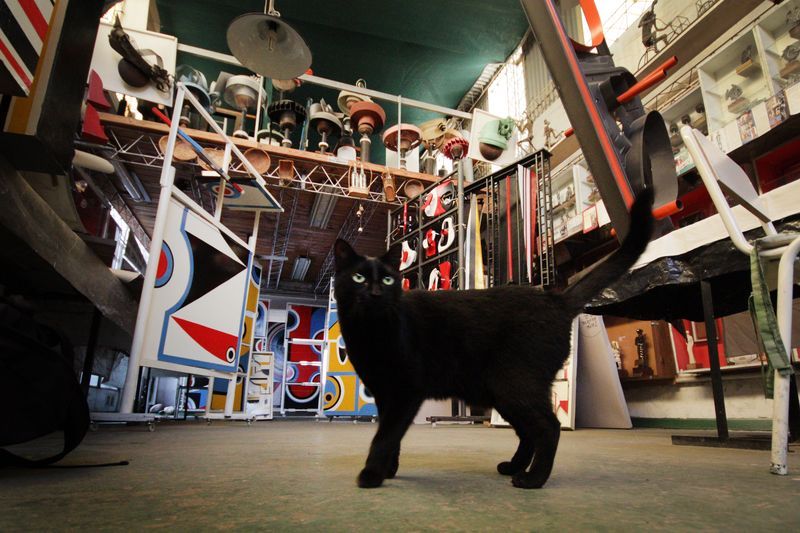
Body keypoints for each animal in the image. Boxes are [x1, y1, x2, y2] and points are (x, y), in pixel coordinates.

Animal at [333, 187, 654, 489]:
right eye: (359, 278)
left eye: (388, 280)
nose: (375, 293)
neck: (370, 333)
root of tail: (555, 299)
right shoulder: (386, 395)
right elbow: (392, 436)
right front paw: (388, 470)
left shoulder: (406, 392)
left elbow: (385, 436)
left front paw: (372, 475)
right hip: (502, 392)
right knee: (529, 432)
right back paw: (514, 467)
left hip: (515, 386)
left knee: (548, 428)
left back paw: (533, 479)